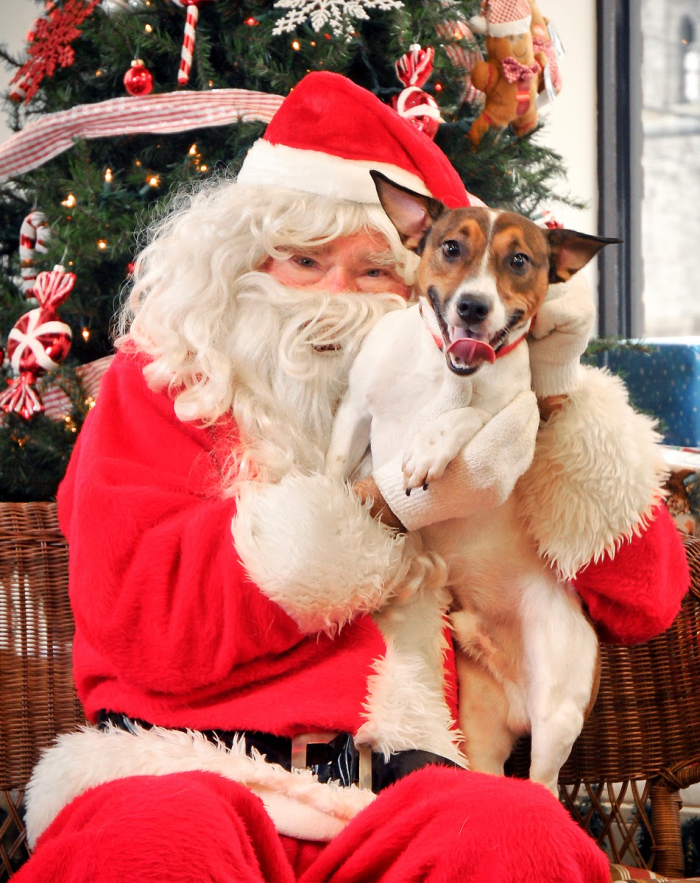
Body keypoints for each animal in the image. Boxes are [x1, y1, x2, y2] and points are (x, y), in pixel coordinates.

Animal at [328, 173, 616, 796]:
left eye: (519, 260)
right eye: (451, 247)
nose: (473, 306)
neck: (440, 372)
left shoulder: (516, 412)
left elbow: (467, 416)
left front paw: (428, 449)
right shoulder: (356, 410)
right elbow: (334, 464)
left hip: (558, 705)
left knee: (544, 789)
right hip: (480, 729)